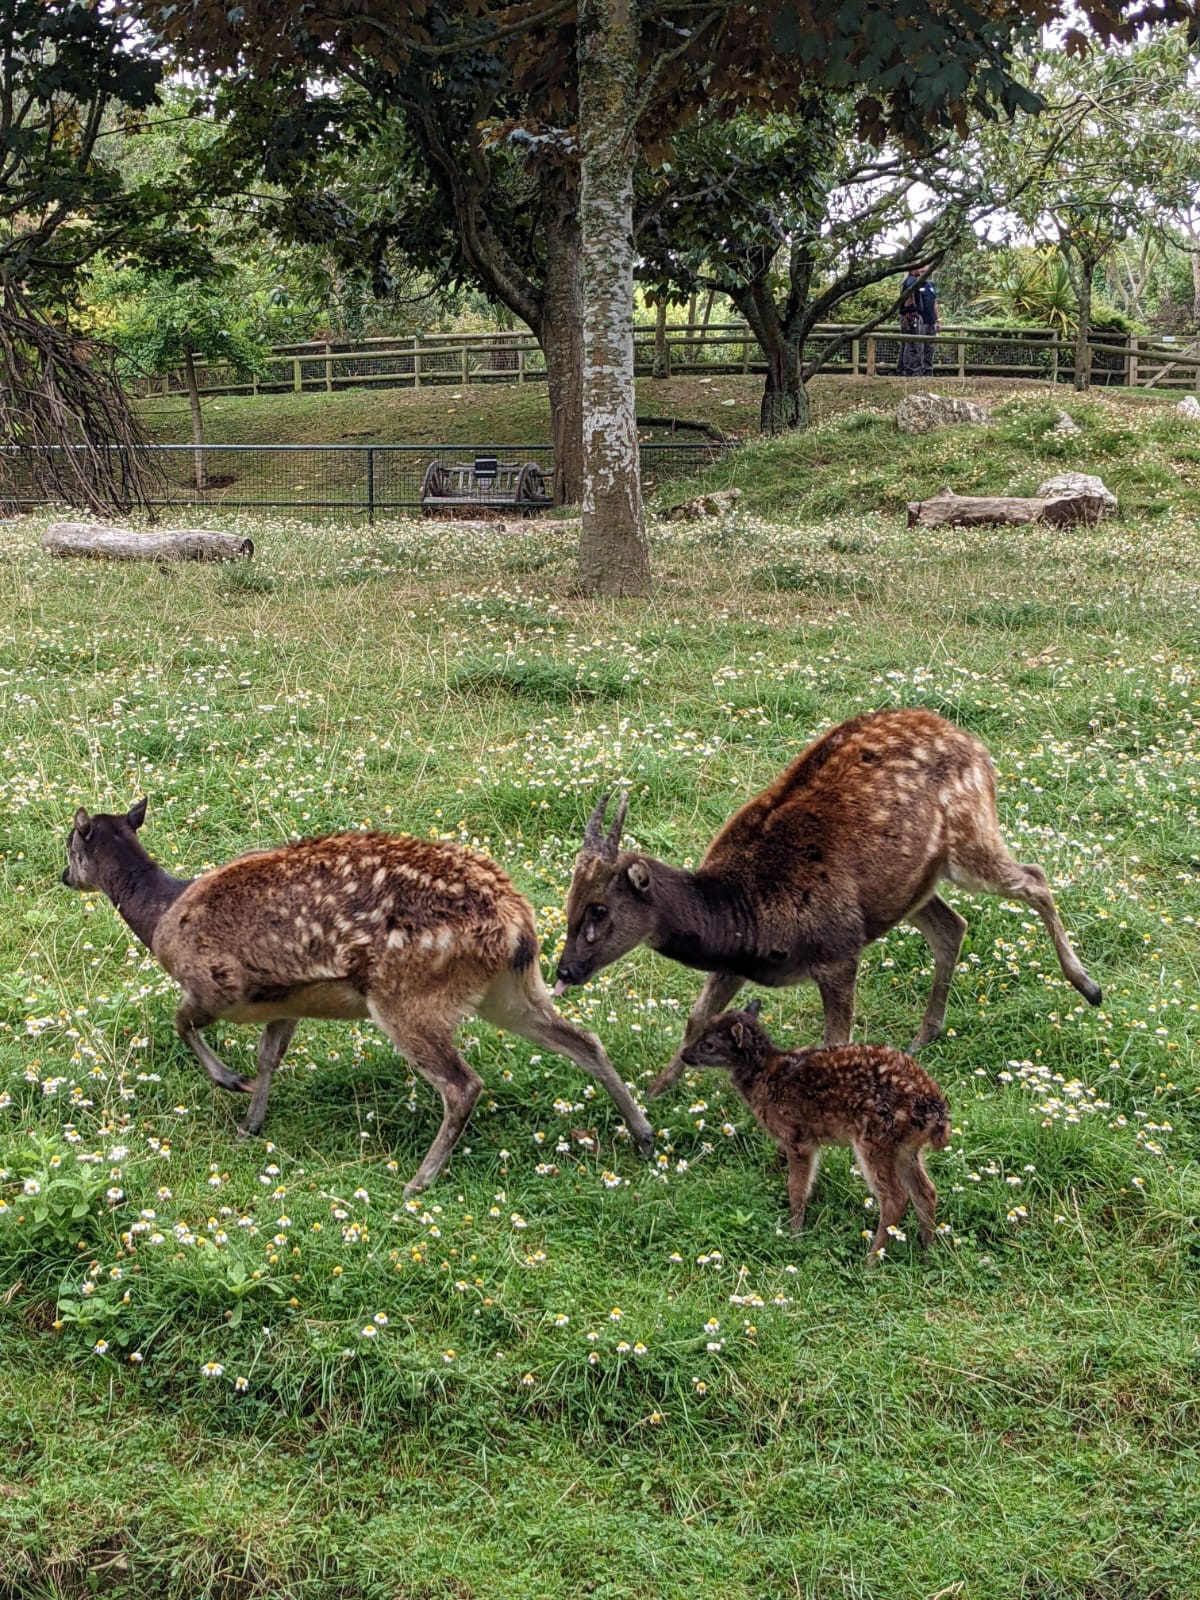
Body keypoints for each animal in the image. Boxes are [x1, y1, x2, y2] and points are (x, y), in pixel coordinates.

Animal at [61, 800, 655, 1194]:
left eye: (70, 841)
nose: (64, 875)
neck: (161, 916)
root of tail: (518, 924)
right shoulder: (288, 1001)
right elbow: (269, 1057)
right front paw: (251, 1124)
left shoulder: (215, 981)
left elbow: (181, 1022)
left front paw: (230, 1082)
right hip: (512, 990)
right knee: (584, 1040)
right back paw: (643, 1133)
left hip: (406, 995)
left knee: (463, 1084)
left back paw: (418, 1181)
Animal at [553, 707, 1101, 1099]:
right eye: (569, 900)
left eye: (599, 909)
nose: (564, 971)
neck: (744, 917)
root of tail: (979, 748)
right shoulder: (735, 963)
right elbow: (695, 1018)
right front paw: (652, 1099)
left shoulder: (838, 948)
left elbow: (835, 1041)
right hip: (912, 886)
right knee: (954, 925)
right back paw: (926, 1035)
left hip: (971, 836)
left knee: (1035, 877)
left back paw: (1088, 986)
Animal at [680, 999, 951, 1261]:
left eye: (709, 1044)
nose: (684, 1054)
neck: (766, 1076)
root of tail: (937, 1112)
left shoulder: (799, 1137)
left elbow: (797, 1188)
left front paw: (794, 1235)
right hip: (906, 1148)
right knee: (926, 1192)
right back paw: (927, 1252)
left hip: (877, 1140)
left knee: (895, 1198)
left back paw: (871, 1260)